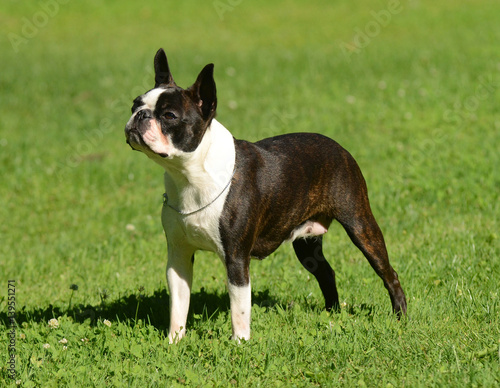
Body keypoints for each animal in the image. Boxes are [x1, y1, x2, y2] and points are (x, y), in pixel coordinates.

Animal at [124, 49, 406, 342]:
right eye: (134, 105)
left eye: (169, 115)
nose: (140, 116)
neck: (189, 176)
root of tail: (339, 147)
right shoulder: (178, 255)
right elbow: (179, 305)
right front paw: (174, 342)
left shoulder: (237, 258)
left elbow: (239, 308)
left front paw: (239, 343)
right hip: (306, 243)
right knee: (326, 273)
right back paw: (332, 314)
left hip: (361, 225)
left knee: (389, 273)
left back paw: (400, 318)